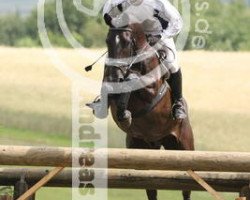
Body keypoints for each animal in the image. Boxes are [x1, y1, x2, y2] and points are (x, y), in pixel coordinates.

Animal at [89, 15, 193, 200]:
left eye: (126, 42)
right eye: (107, 41)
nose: (115, 77)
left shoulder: (151, 89)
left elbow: (133, 79)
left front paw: (125, 112)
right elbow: (109, 88)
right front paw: (123, 114)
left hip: (184, 147)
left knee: (186, 185)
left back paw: (179, 109)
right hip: (142, 149)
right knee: (150, 184)